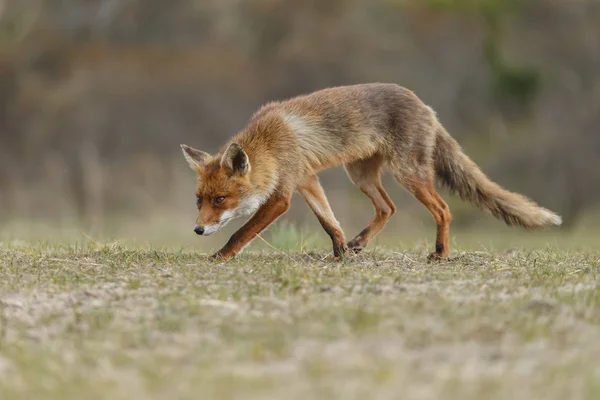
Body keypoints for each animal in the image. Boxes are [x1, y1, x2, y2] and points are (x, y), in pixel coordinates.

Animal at [179, 83, 564, 260]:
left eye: (220, 199)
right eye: (198, 200)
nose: (197, 229)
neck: (270, 144)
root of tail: (426, 106)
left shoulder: (282, 195)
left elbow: (240, 232)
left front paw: (219, 256)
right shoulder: (308, 179)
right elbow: (329, 220)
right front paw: (340, 251)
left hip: (408, 174)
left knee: (443, 209)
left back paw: (441, 253)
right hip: (361, 176)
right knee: (387, 208)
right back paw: (359, 243)